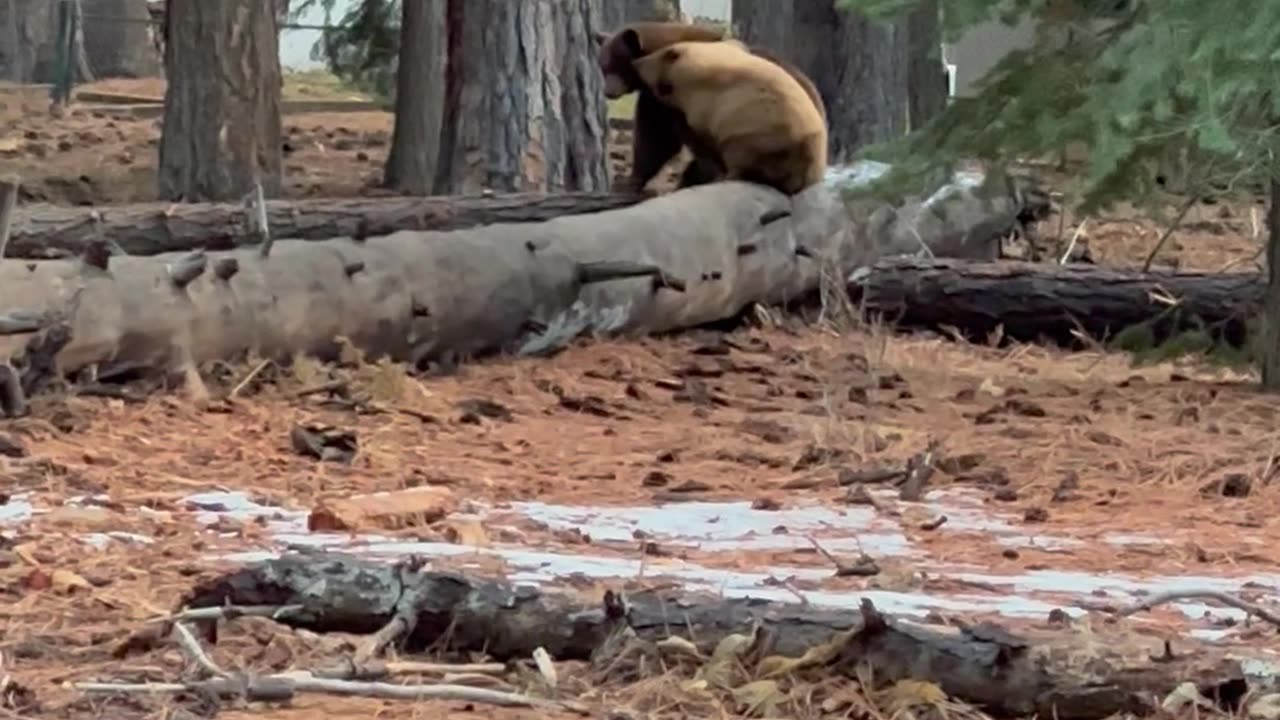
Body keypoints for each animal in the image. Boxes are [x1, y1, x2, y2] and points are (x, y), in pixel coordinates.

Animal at [594, 21, 826, 194]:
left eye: (616, 65)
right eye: (603, 67)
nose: (608, 92)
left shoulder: (671, 96)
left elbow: (660, 138)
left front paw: (629, 181)